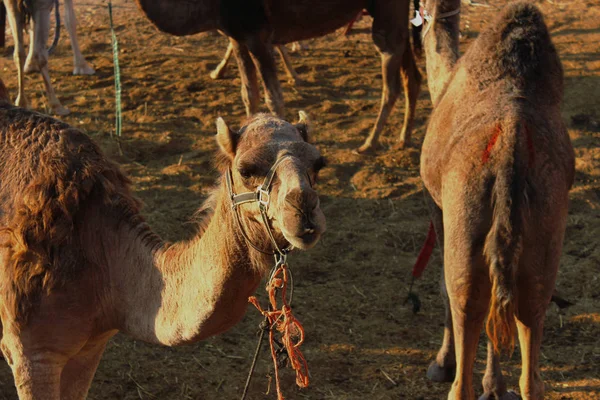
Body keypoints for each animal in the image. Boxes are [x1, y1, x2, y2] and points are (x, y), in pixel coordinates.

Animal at [132, 0, 422, 152]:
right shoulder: (236, 37)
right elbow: (248, 93)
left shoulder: (258, 35)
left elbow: (274, 98)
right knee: (412, 75)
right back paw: (403, 137)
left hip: (387, 10)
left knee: (391, 73)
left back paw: (369, 143)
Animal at [420, 1, 576, 398]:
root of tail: (510, 150)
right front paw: (494, 385)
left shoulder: (436, 204)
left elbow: (443, 289)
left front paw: (442, 363)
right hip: (543, 233)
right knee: (530, 325)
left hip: (465, 222)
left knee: (464, 306)